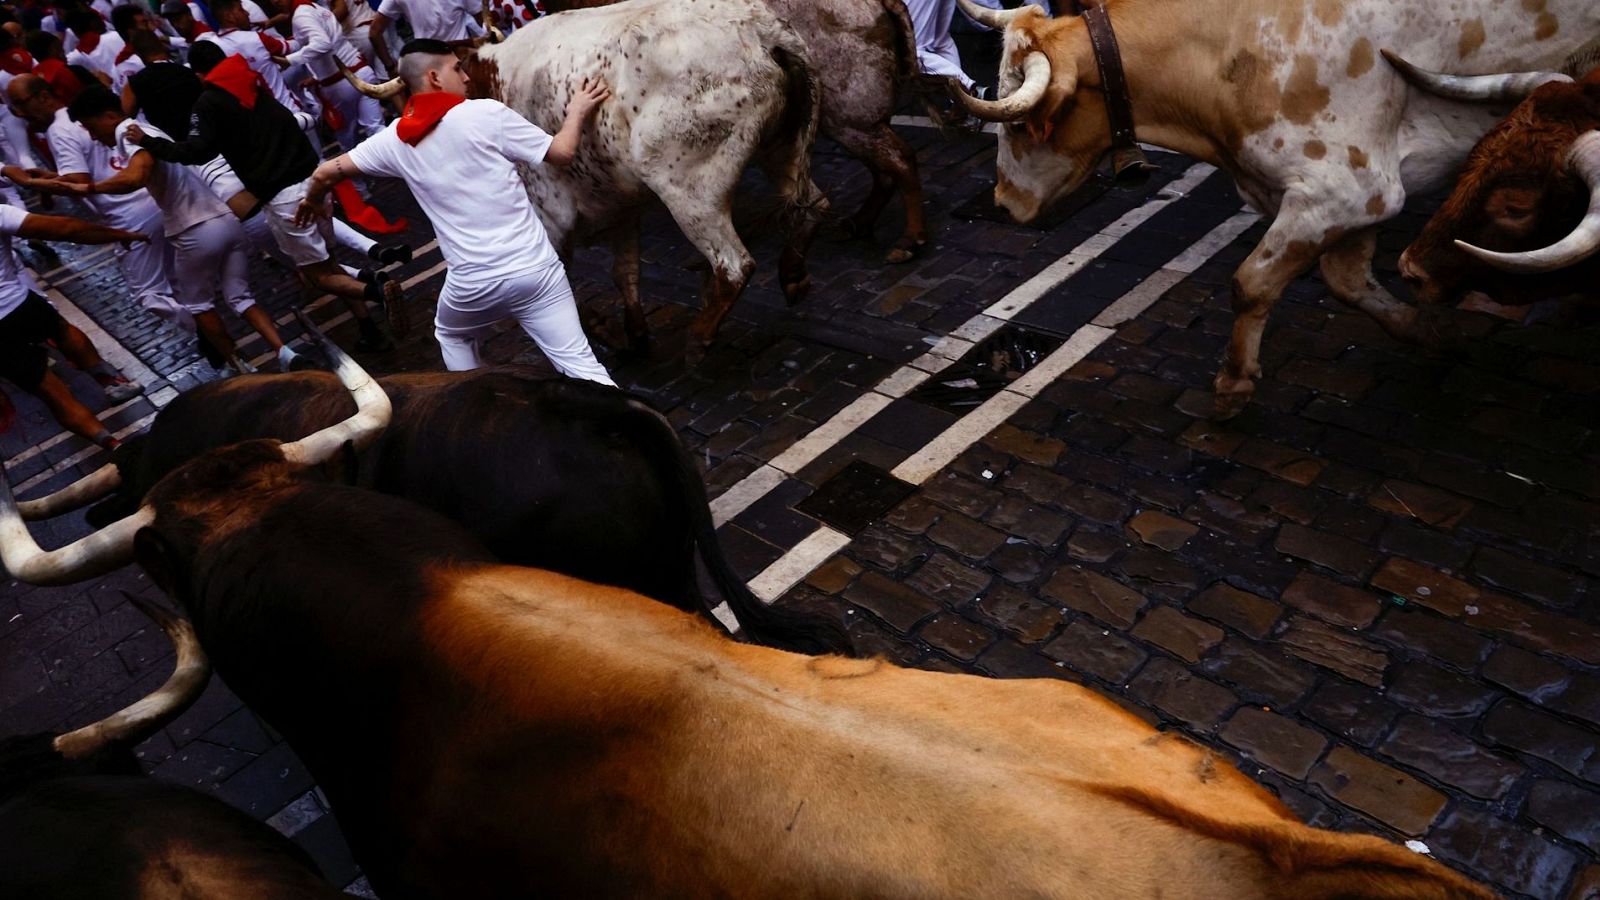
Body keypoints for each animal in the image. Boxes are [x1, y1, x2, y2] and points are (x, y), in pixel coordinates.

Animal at [347, 0, 825, 349]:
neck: (493, 79)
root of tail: (761, 32)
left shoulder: (550, 217)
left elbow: (564, 280)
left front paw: (600, 327)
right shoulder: (621, 206)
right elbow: (625, 271)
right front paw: (633, 331)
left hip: (688, 188)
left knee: (733, 264)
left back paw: (700, 335)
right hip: (780, 150)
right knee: (811, 207)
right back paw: (792, 276)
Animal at [544, 0, 934, 262]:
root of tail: (878, 4)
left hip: (851, 119)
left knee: (900, 160)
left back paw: (908, 240)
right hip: (850, 123)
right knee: (883, 169)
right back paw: (857, 224)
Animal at [947, 0, 1600, 416]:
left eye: (1025, 124)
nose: (1002, 202)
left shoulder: (1345, 189)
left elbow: (1251, 282)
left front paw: (1235, 382)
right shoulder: (1355, 202)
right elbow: (1348, 282)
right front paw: (1430, 330)